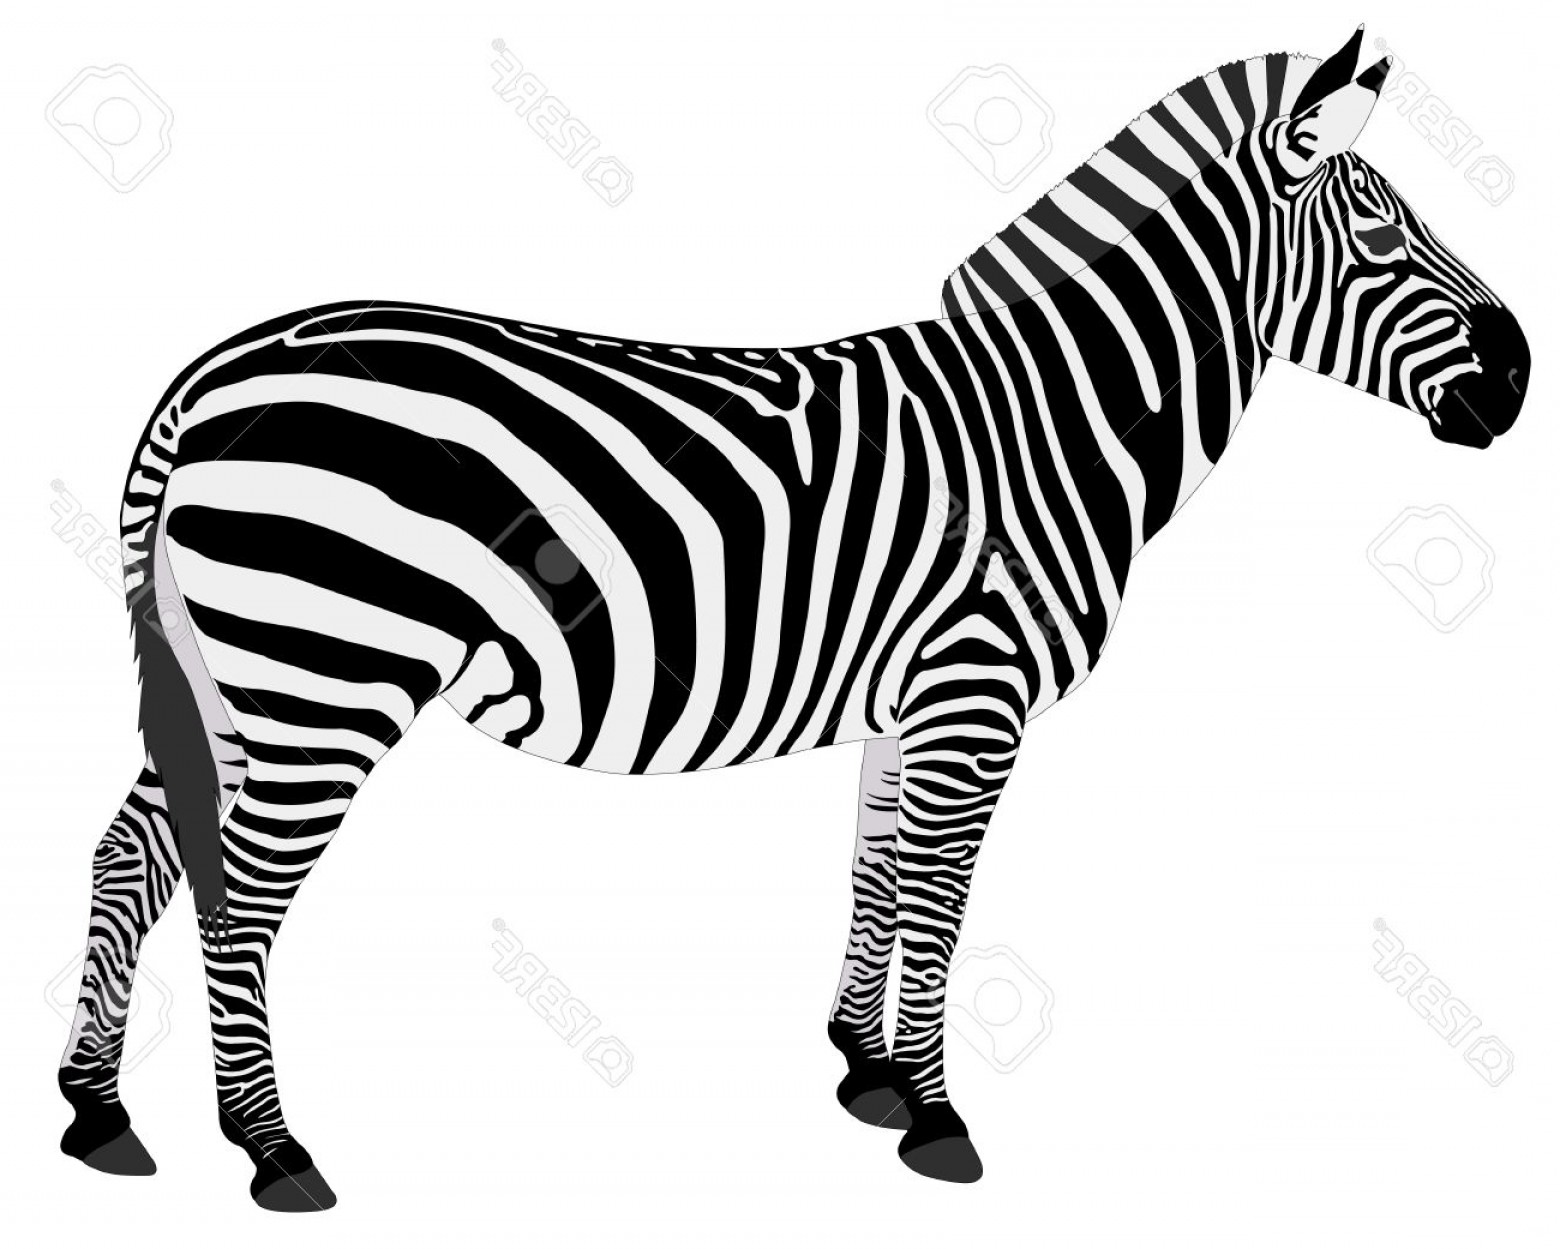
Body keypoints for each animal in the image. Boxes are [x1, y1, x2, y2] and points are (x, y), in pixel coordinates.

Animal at [59, 28, 1527, 1209]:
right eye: (1385, 235)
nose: (1518, 378)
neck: (1054, 424)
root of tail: (214, 371)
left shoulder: (909, 698)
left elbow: (877, 868)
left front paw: (866, 1074)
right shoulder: (977, 690)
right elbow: (940, 894)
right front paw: (938, 1114)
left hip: (238, 680)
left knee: (136, 854)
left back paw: (98, 1112)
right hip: (323, 676)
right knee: (239, 897)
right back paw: (272, 1150)